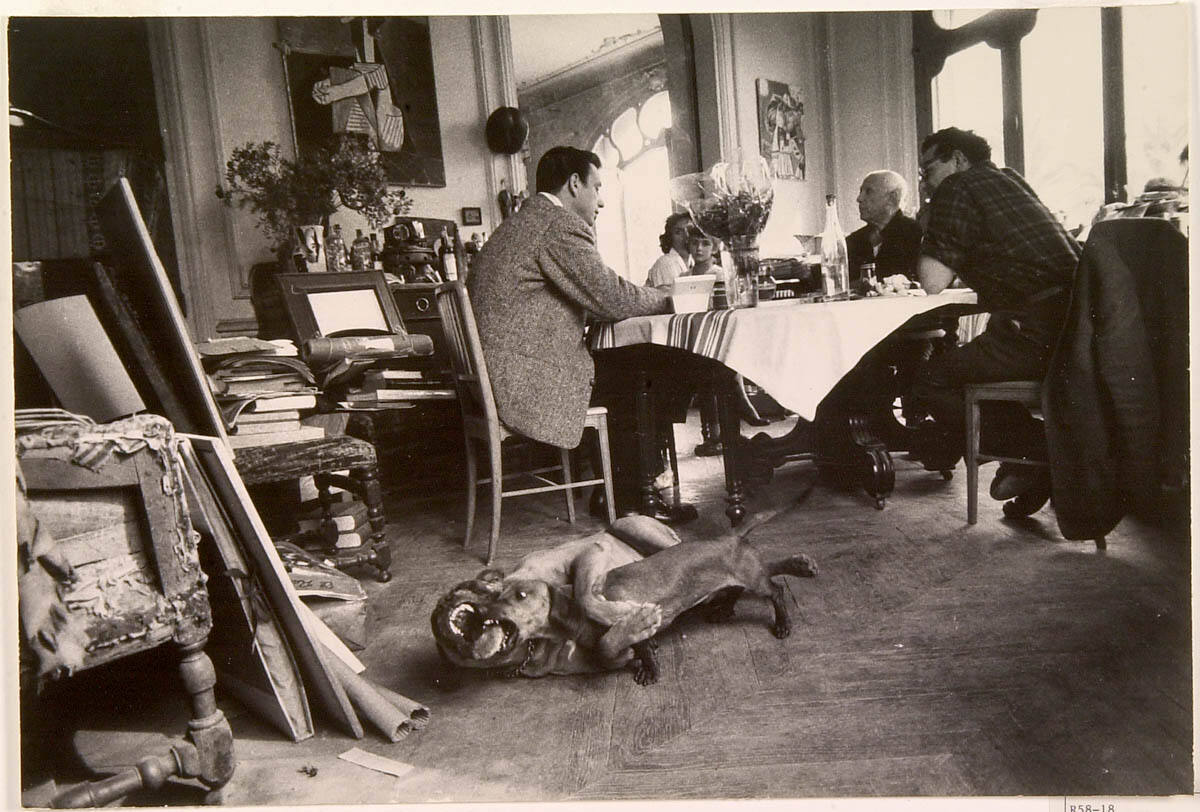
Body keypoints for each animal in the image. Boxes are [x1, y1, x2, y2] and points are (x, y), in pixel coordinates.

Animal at [432, 521, 817, 684]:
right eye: (493, 596)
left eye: (520, 596)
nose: (482, 614)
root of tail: (735, 537)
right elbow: (630, 647)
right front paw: (647, 662)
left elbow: (609, 643)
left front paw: (649, 667)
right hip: (740, 577)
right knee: (748, 584)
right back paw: (726, 607)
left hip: (751, 578)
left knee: (776, 589)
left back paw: (784, 618)